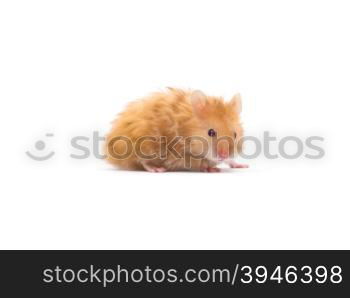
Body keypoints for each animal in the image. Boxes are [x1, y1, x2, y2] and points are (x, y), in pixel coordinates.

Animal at [104, 88, 249, 172]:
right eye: (211, 132)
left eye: (235, 134)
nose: (224, 155)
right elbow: (197, 162)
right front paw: (210, 168)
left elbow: (229, 160)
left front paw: (242, 165)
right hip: (142, 145)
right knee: (141, 161)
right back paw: (157, 169)